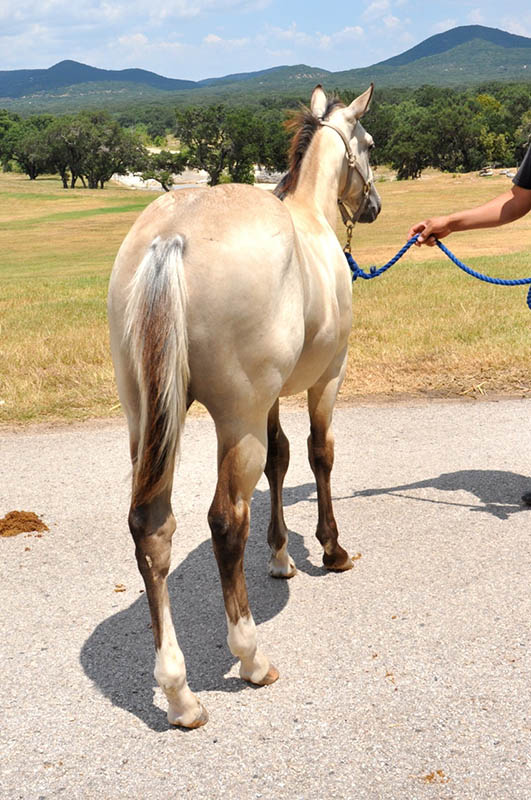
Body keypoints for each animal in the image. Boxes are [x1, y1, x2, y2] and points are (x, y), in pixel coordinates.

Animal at [108, 84, 382, 728]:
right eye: (369, 144)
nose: (375, 205)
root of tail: (172, 237)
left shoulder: (272, 402)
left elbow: (281, 461)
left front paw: (281, 555)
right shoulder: (325, 379)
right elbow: (318, 455)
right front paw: (330, 548)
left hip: (149, 420)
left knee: (151, 528)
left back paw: (179, 692)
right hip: (238, 419)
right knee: (225, 522)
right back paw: (251, 656)